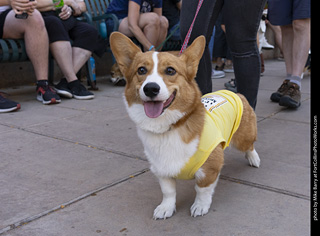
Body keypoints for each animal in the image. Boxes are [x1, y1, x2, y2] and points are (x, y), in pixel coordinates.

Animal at [110, 31, 260, 219]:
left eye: (170, 70)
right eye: (141, 70)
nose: (150, 88)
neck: (169, 127)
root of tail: (236, 93)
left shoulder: (209, 169)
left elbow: (202, 189)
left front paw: (200, 206)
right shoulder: (161, 170)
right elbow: (168, 192)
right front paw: (166, 208)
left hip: (243, 138)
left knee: (250, 145)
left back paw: (254, 158)